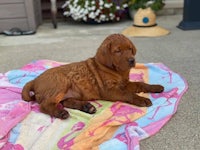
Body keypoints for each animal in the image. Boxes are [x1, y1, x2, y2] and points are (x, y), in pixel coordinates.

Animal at [21, 33, 164, 119]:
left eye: (130, 49)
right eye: (118, 51)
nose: (132, 60)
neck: (117, 71)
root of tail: (34, 80)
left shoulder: (125, 83)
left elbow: (140, 84)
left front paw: (156, 87)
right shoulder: (110, 90)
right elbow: (128, 94)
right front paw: (142, 99)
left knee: (65, 102)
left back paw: (87, 107)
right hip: (61, 82)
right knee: (44, 105)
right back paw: (60, 112)